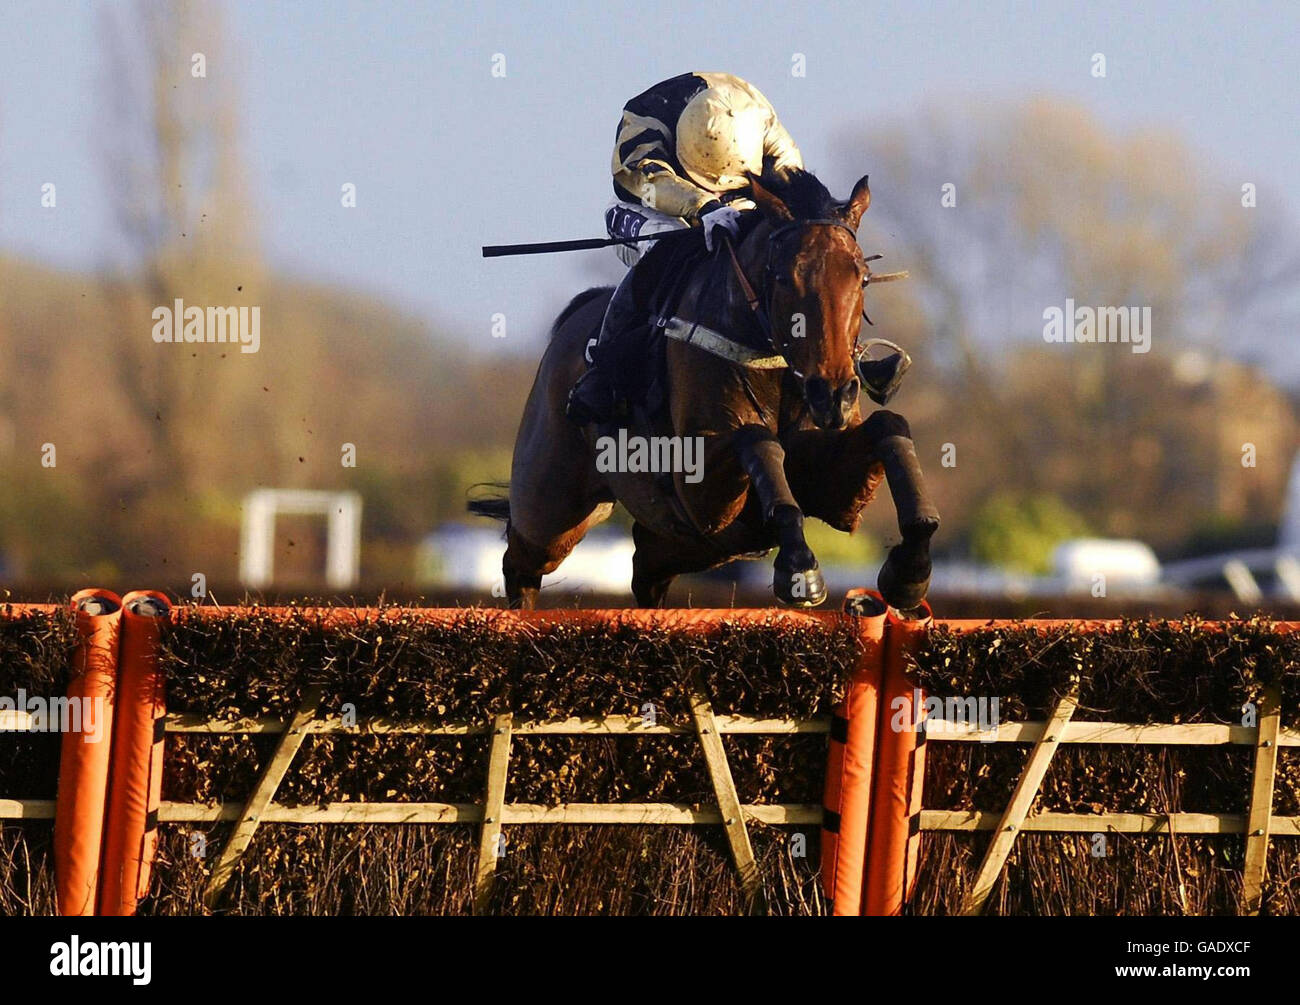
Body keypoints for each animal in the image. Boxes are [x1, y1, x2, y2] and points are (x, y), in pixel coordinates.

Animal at [473, 164, 941, 608]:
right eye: (785, 277)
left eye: (861, 277)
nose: (832, 395)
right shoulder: (701, 489)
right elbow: (756, 440)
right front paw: (799, 569)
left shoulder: (824, 486)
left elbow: (889, 426)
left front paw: (909, 572)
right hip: (550, 506)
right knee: (521, 564)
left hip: (687, 539)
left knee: (646, 569)